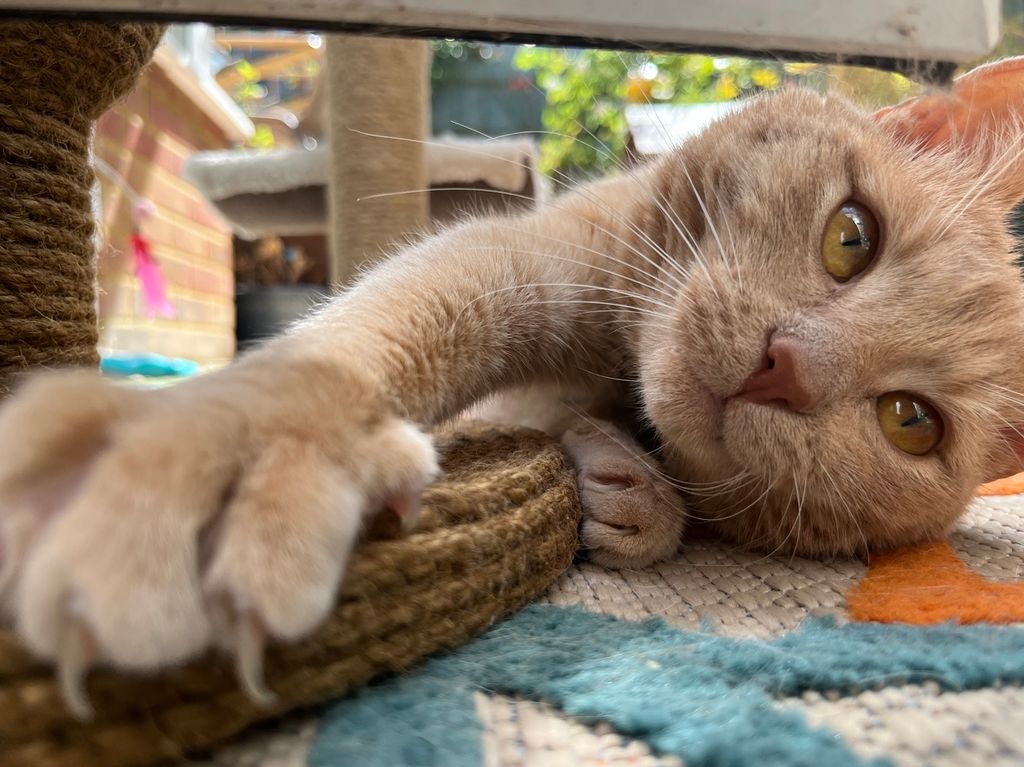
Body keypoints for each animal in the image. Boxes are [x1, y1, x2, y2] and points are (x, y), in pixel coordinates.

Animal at [0, 56, 1024, 708]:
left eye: (910, 421)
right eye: (852, 235)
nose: (788, 364)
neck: (617, 370)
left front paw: (627, 489)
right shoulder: (517, 259)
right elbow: (364, 344)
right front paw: (246, 450)